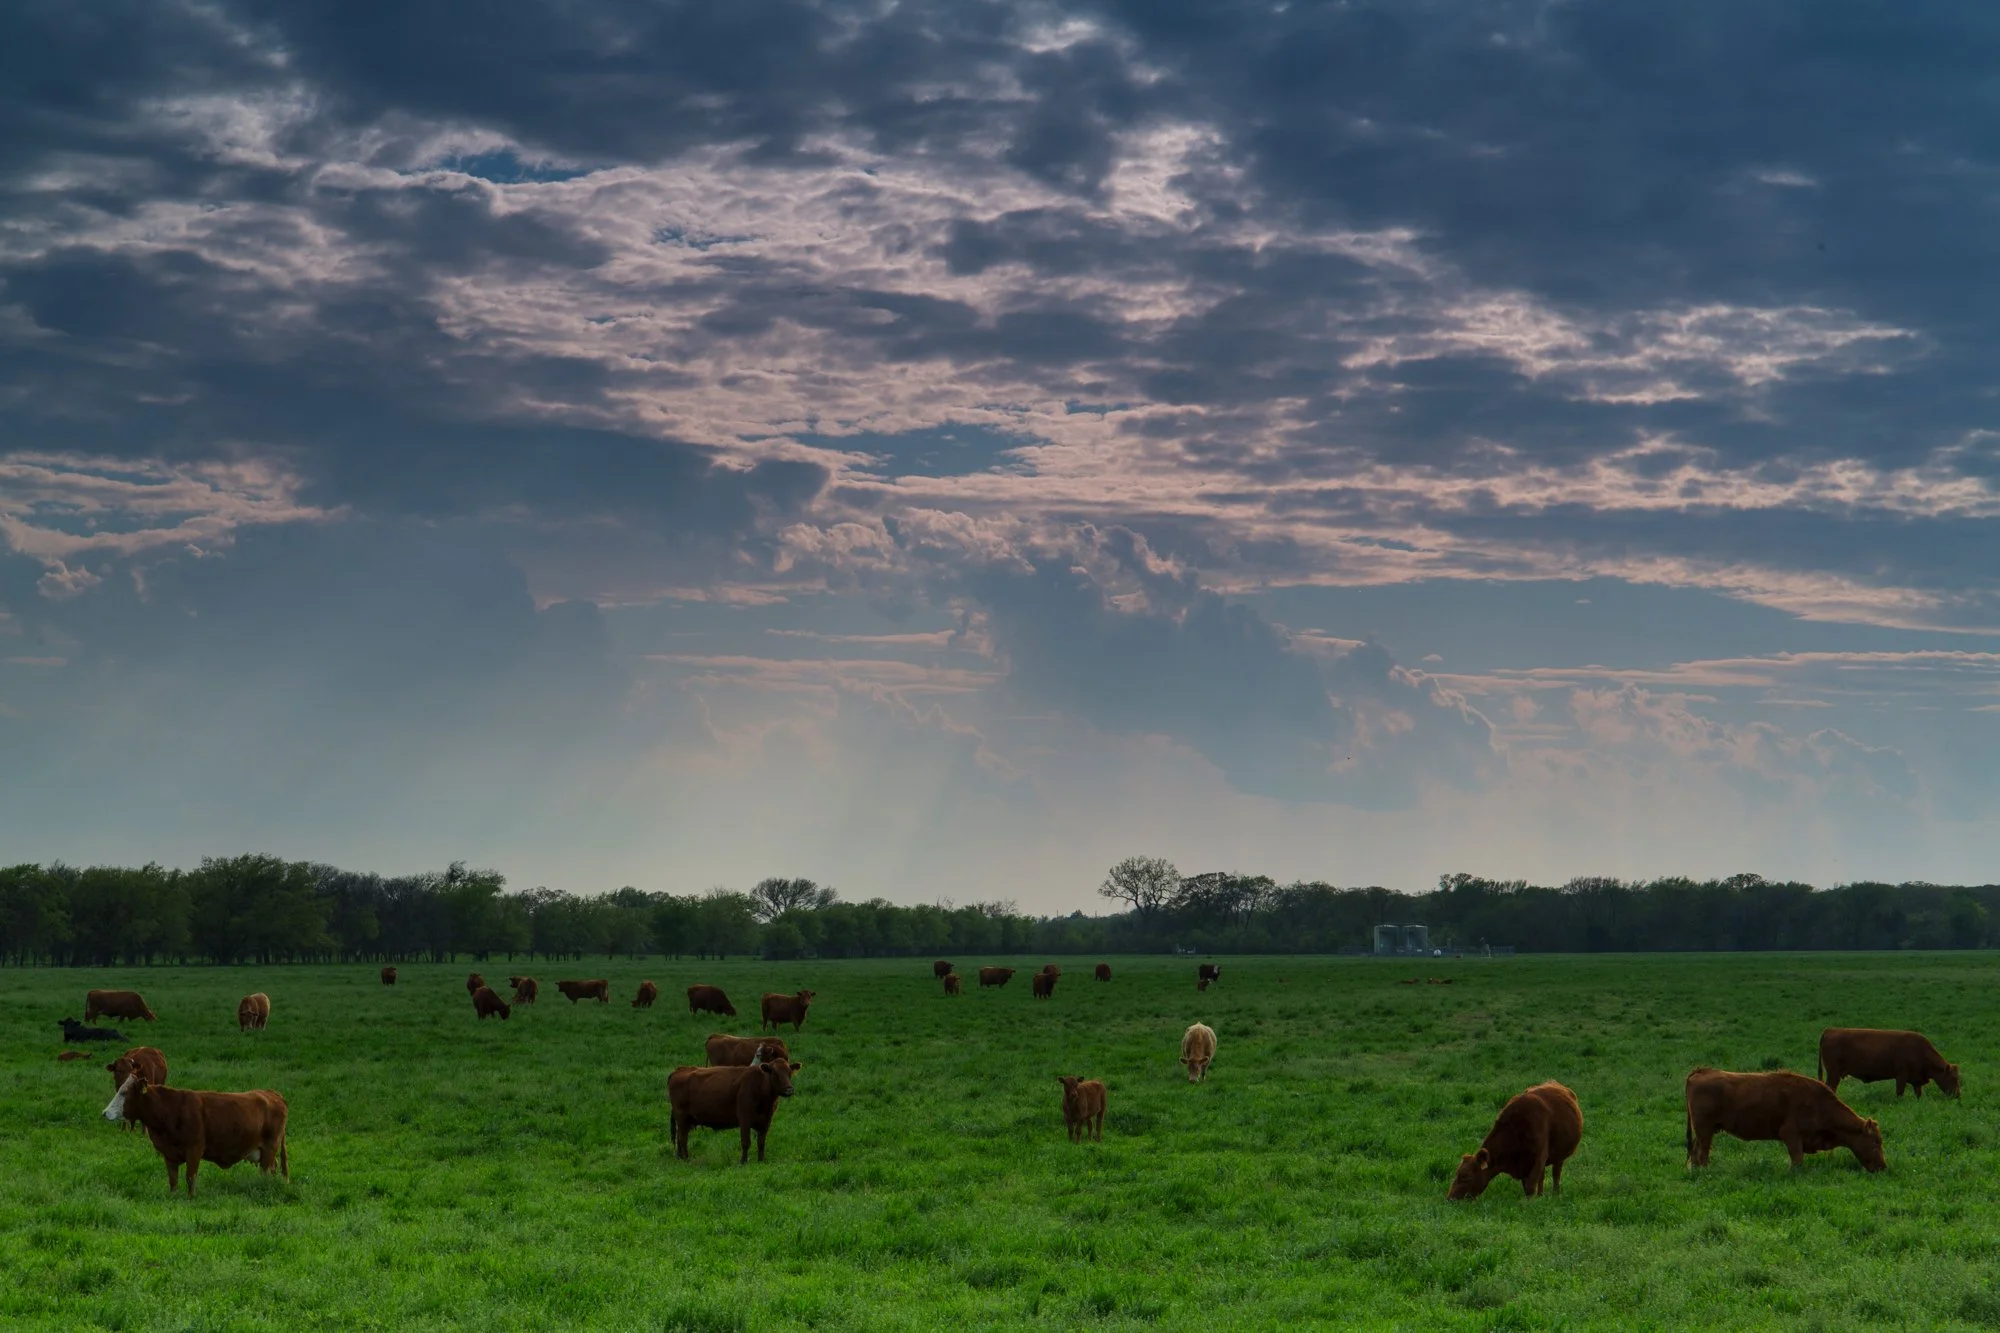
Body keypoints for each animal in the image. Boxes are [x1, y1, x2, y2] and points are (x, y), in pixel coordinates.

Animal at [102, 1075, 290, 1197]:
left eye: (124, 1093)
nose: (105, 1113)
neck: (170, 1109)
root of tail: (272, 1094)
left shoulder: (194, 1150)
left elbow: (190, 1178)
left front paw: (191, 1198)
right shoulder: (169, 1154)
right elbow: (173, 1180)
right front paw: (173, 1197)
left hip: (270, 1147)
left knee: (266, 1172)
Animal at [667, 1054, 801, 1163]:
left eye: (789, 1073)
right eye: (775, 1073)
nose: (789, 1089)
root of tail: (680, 1069)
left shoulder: (766, 1121)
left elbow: (761, 1143)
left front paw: (761, 1160)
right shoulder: (744, 1119)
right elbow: (746, 1142)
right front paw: (743, 1161)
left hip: (684, 1120)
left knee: (679, 1138)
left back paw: (680, 1157)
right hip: (682, 1117)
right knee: (682, 1139)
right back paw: (686, 1159)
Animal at [1447, 1081, 1583, 1200]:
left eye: (1466, 1176)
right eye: (1457, 1173)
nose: (1450, 1198)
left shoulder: (1539, 1156)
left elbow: (1530, 1185)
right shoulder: (1525, 1164)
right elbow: (1529, 1185)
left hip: (1559, 1155)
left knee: (1556, 1174)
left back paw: (1555, 1195)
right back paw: (1541, 1195)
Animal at [1684, 1068, 1886, 1173]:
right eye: (1875, 1143)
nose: (1883, 1167)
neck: (1819, 1103)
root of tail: (1702, 1071)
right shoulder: (1791, 1135)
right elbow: (1797, 1160)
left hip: (1705, 1132)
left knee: (1696, 1152)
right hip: (1704, 1130)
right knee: (1701, 1152)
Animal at [1818, 1028, 1960, 1100]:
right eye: (1953, 1078)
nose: (1958, 1095)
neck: (1920, 1050)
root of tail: (1830, 1030)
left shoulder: (1916, 1080)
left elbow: (1918, 1093)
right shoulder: (1901, 1076)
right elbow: (1899, 1092)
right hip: (1833, 1074)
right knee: (1830, 1087)